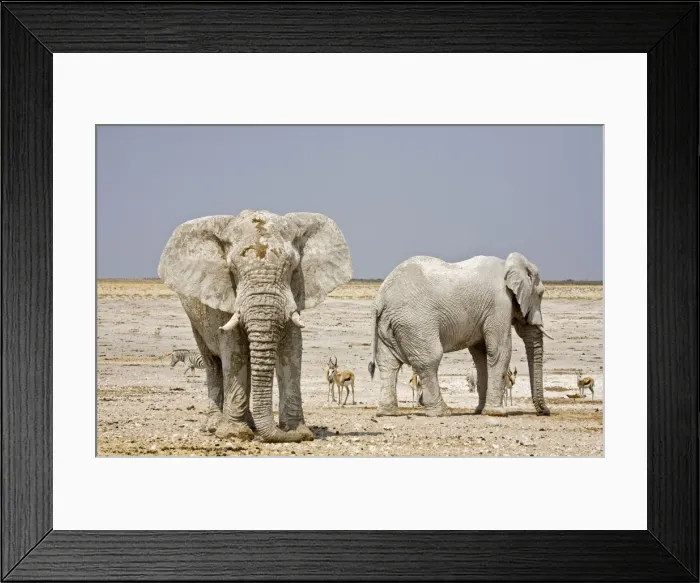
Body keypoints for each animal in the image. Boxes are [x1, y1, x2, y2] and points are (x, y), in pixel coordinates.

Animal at [157, 210, 353, 443]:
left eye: (292, 266)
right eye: (232, 269)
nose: (285, 434)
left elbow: (291, 351)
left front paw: (299, 432)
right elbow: (235, 352)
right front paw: (234, 433)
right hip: (194, 318)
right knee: (213, 363)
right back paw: (215, 426)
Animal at [367, 252, 552, 417]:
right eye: (541, 294)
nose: (545, 412)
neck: (507, 265)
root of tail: (380, 299)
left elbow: (481, 354)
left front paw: (480, 411)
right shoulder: (499, 305)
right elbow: (499, 350)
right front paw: (497, 413)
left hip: (388, 324)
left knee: (388, 363)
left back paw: (387, 412)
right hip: (415, 323)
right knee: (429, 360)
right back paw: (442, 412)